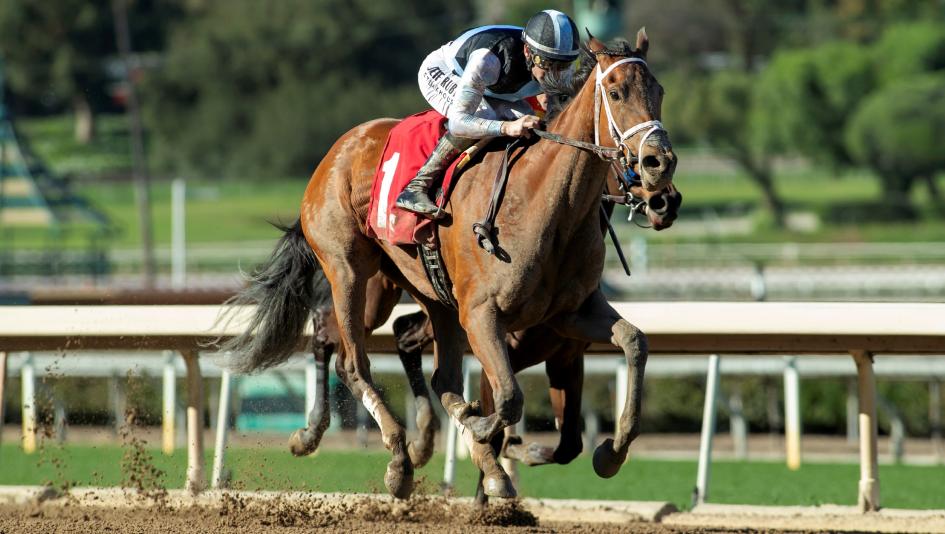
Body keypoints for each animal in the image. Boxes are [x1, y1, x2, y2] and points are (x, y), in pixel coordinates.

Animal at [222, 30, 677, 500]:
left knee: (425, 367)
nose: (660, 169)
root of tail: (339, 149)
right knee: (351, 360)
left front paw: (611, 453)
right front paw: (486, 440)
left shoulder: (569, 316)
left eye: (659, 91)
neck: (548, 204)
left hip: (425, 293)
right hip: (349, 271)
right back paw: (389, 457)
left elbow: (634, 343)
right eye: (616, 92)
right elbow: (508, 398)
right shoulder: (482, 316)